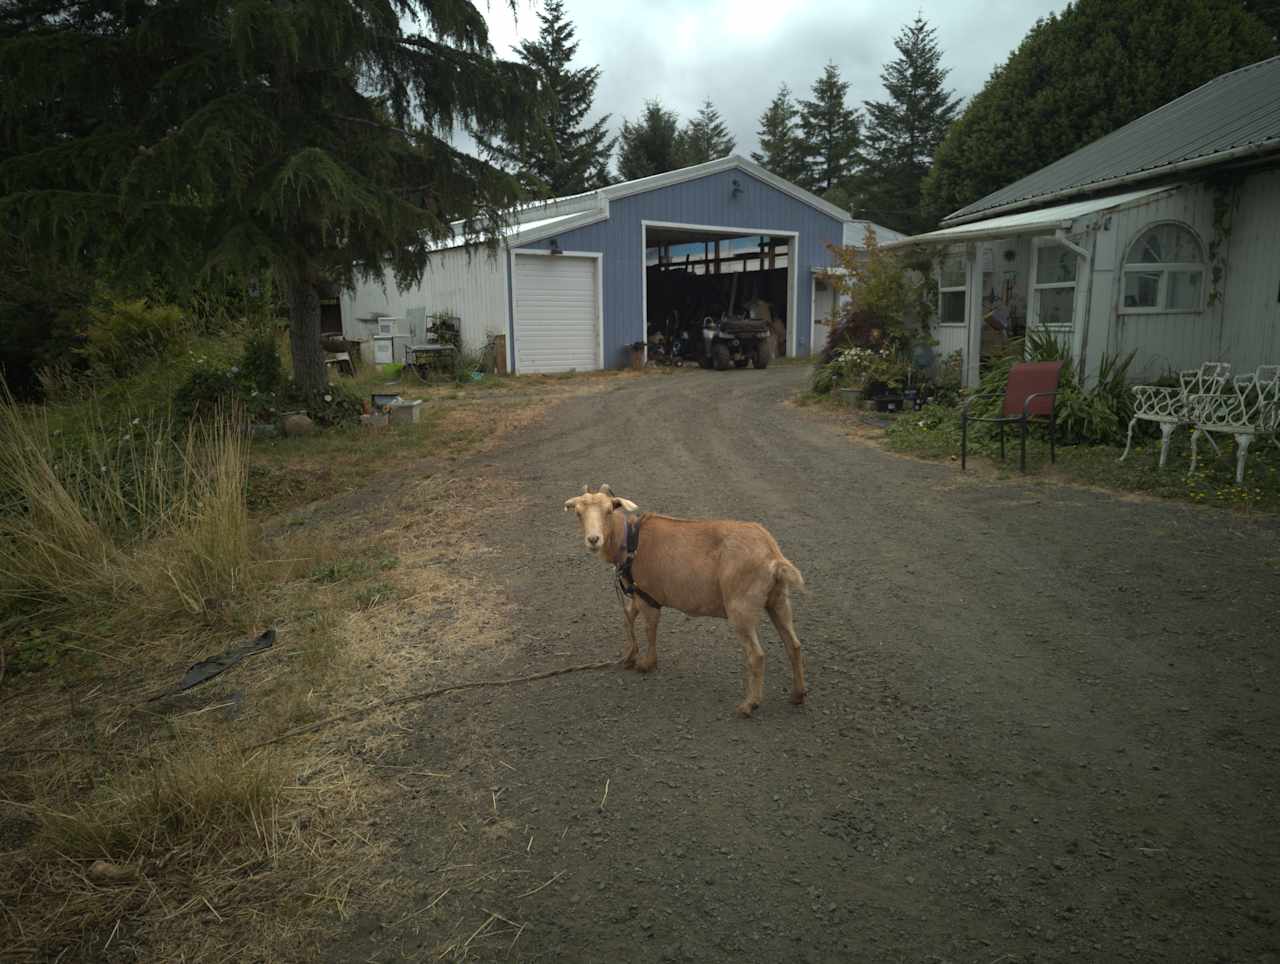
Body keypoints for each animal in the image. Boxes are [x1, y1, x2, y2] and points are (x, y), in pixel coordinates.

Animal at [563, 481, 803, 716]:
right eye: (578, 513)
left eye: (608, 510)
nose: (593, 539)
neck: (630, 541)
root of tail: (773, 557)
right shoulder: (638, 594)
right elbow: (628, 617)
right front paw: (630, 655)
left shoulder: (648, 597)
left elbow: (649, 628)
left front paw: (647, 663)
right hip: (778, 600)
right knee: (793, 644)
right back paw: (798, 695)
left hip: (741, 606)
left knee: (756, 655)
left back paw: (749, 704)